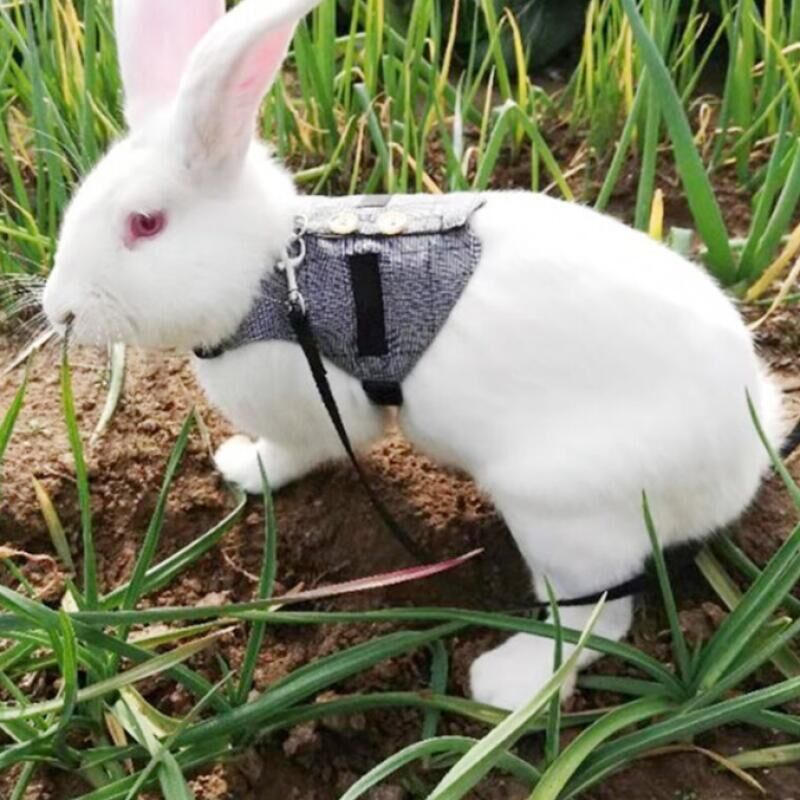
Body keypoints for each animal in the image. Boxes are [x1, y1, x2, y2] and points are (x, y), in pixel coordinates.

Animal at [42, 0, 785, 711]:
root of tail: (746, 453)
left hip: (564, 516)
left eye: (145, 224)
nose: (59, 309)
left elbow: (295, 453)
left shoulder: (315, 406)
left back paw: (505, 684)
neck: (268, 272)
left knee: (593, 619)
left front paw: (243, 468)